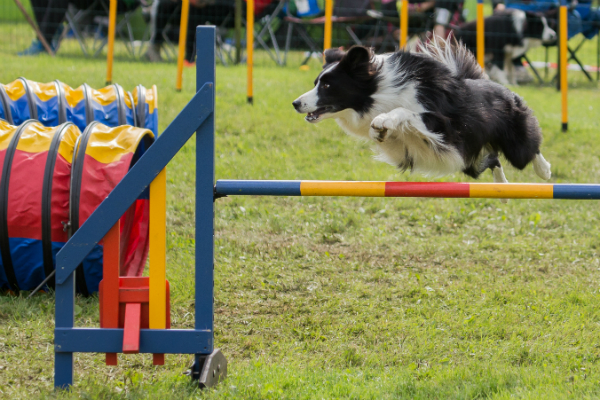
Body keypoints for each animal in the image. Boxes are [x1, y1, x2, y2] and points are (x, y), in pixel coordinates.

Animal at [292, 38, 552, 182]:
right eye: (316, 82)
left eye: (327, 85)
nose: (295, 103)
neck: (378, 91)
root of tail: (499, 86)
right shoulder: (407, 150)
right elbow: (392, 136)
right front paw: (379, 131)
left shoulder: (444, 125)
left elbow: (405, 112)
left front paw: (385, 120)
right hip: (468, 161)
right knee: (492, 160)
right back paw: (502, 186)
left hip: (513, 142)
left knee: (530, 149)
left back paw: (544, 171)